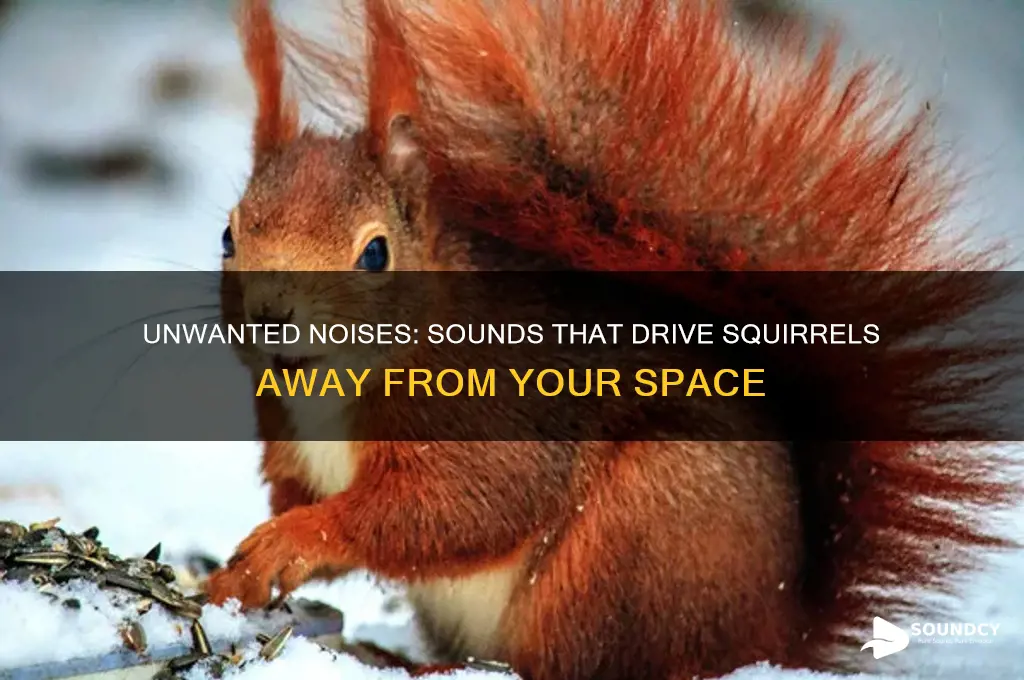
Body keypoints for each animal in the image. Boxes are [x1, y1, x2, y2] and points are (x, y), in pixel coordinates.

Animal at [204, 0, 1021, 678]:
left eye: (375, 253)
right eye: (228, 236)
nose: (270, 317)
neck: (333, 382)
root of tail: (778, 631)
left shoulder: (489, 413)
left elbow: (456, 509)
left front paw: (296, 538)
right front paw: (233, 575)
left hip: (630, 545)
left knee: (579, 660)